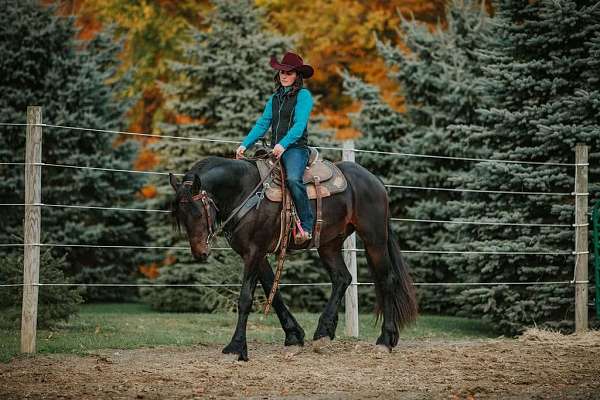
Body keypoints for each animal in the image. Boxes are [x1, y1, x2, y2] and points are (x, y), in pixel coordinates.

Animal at [166, 157, 414, 362]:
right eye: (180, 216)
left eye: (198, 212)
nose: (200, 252)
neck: (246, 193)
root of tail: (375, 181)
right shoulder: (256, 254)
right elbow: (272, 293)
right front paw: (294, 337)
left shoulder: (254, 252)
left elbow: (245, 299)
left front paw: (236, 348)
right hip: (329, 244)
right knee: (342, 278)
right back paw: (323, 333)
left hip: (374, 238)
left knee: (387, 280)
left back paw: (385, 341)